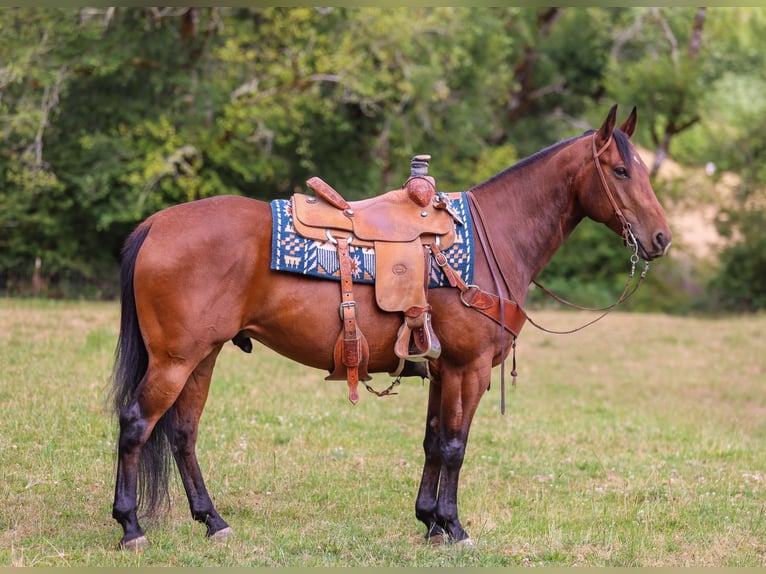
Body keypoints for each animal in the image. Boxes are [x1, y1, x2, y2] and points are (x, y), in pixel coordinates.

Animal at [110, 105, 671, 550]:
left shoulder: (444, 370)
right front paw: (453, 528)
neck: (493, 236)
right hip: (175, 359)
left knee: (183, 432)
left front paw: (429, 522)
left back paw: (213, 521)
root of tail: (156, 223)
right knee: (136, 424)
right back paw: (131, 527)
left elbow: (432, 441)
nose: (661, 238)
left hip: (202, 356)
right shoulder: (468, 369)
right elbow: (455, 445)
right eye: (621, 170)